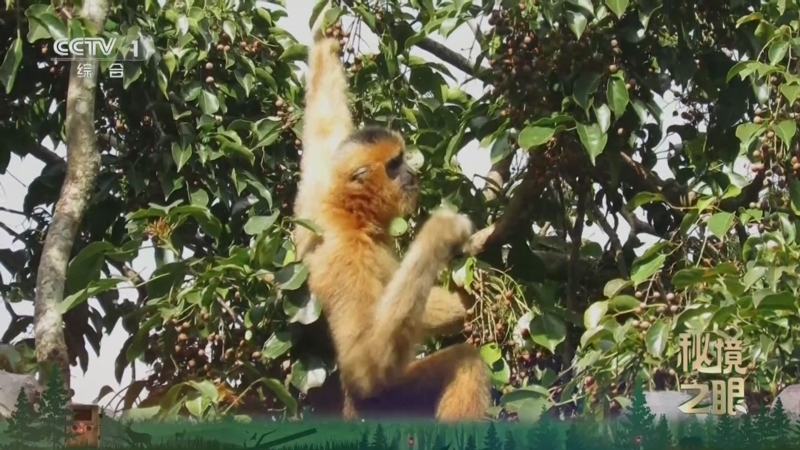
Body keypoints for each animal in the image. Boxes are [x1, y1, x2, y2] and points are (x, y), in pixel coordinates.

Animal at [290, 6, 491, 421]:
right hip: (383, 407)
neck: (353, 218)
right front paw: (440, 233)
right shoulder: (348, 258)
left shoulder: (315, 203)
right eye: (395, 164)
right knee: (464, 362)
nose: (412, 171)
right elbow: (364, 367)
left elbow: (324, 130)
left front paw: (325, 39)